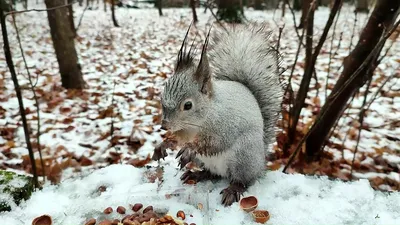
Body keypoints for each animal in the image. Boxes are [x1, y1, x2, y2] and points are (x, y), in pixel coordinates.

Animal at [152, 23, 282, 207]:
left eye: (188, 105)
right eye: (161, 98)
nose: (164, 125)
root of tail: (261, 164)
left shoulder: (226, 126)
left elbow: (215, 144)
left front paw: (189, 149)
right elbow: (175, 140)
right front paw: (162, 145)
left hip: (244, 156)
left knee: (243, 180)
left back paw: (233, 189)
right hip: (205, 161)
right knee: (211, 174)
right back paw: (196, 174)